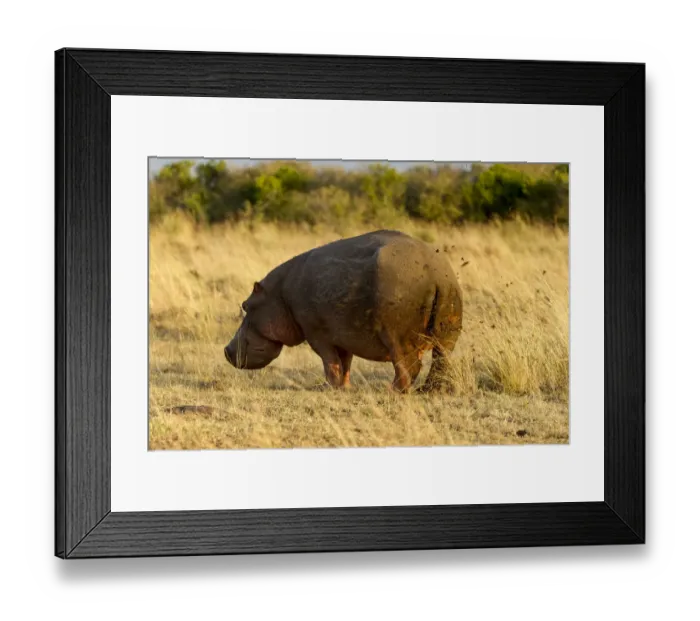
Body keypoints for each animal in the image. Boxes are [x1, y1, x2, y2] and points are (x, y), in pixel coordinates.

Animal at [224, 230, 463, 393]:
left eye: (246, 305)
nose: (226, 350)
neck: (279, 293)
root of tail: (437, 274)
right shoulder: (343, 335)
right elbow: (345, 362)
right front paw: (344, 388)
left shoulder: (317, 335)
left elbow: (330, 362)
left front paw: (327, 387)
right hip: (448, 331)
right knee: (441, 361)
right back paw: (432, 390)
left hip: (397, 337)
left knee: (408, 366)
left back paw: (391, 391)